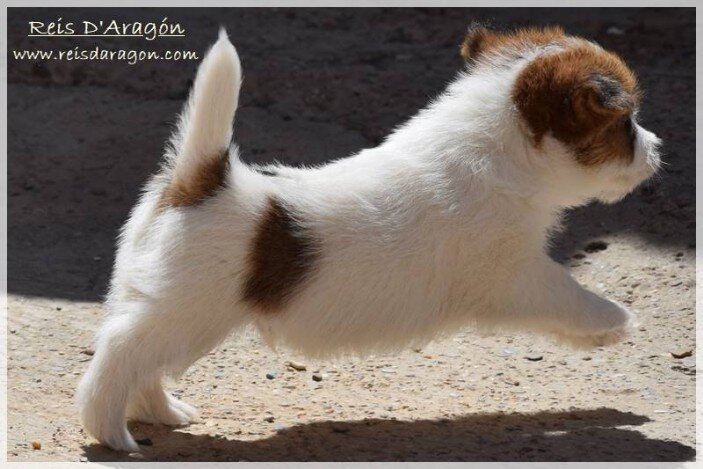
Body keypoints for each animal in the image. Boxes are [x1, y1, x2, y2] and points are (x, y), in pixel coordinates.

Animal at [77, 25, 660, 450]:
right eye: (625, 123)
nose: (657, 148)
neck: (497, 152)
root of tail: (200, 180)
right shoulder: (516, 275)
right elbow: (569, 293)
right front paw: (614, 321)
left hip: (159, 304)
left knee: (142, 362)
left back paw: (163, 413)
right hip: (185, 311)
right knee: (120, 354)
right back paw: (111, 432)